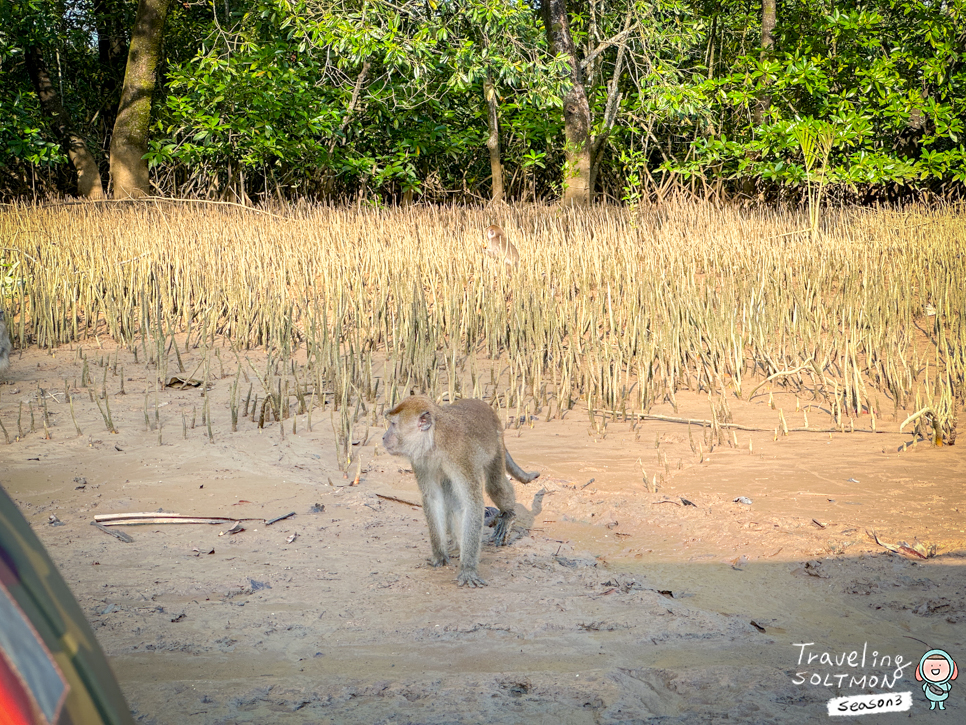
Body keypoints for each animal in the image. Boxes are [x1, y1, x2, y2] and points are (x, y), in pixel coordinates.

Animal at [384, 394, 540, 584]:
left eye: (393, 424)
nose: (384, 437)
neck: (435, 440)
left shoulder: (461, 455)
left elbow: (472, 503)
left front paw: (468, 569)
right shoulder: (421, 459)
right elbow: (433, 499)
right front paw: (440, 555)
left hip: (497, 443)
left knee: (495, 485)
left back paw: (508, 515)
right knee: (451, 496)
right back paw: (458, 545)